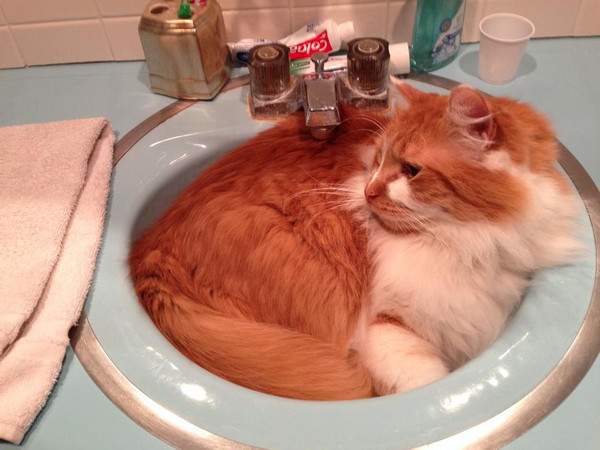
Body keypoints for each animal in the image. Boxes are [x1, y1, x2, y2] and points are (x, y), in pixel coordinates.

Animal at [129, 81, 580, 398]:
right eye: (377, 159)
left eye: (411, 170)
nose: (368, 192)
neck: (468, 239)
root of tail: (146, 257)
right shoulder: (386, 327)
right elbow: (424, 378)